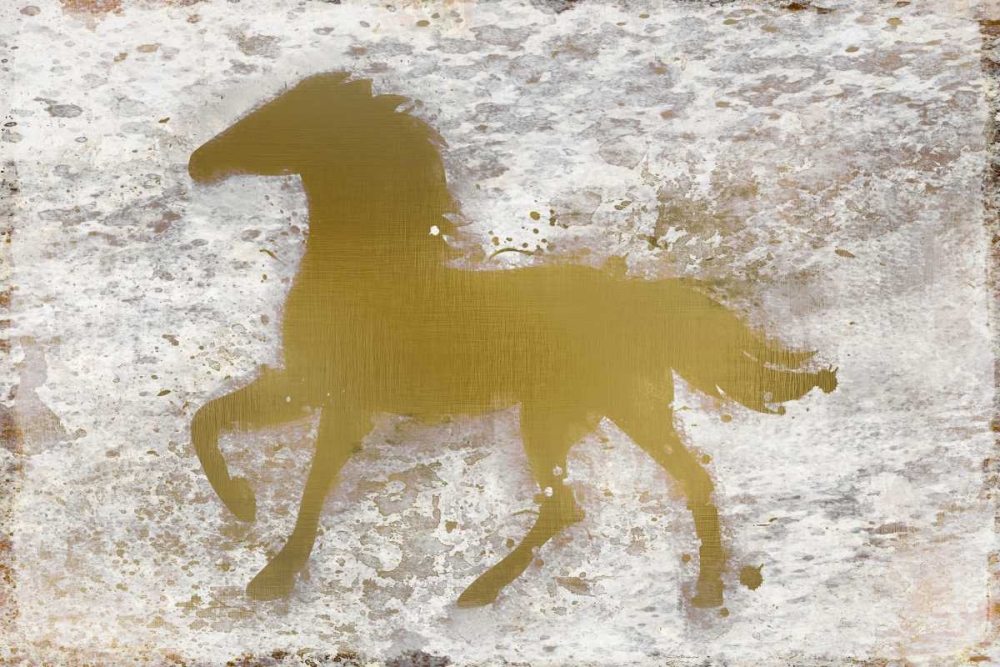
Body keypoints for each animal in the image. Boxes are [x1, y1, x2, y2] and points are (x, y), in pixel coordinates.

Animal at [187, 72, 838, 609]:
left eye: (284, 116)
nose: (198, 161)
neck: (368, 274)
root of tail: (641, 306)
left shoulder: (336, 398)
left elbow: (303, 480)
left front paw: (269, 565)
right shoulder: (309, 387)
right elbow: (207, 420)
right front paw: (246, 507)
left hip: (573, 415)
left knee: (600, 499)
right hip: (597, 413)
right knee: (629, 494)